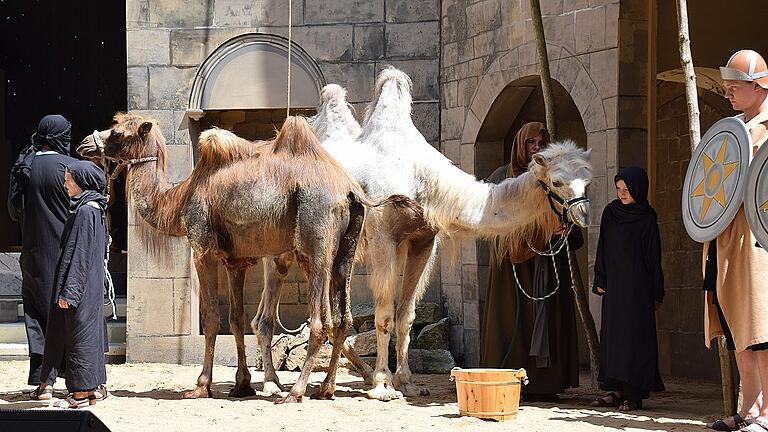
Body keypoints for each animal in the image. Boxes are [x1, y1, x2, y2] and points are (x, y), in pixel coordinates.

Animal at [78, 113, 420, 404]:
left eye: (118, 132)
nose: (84, 144)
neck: (179, 200)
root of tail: (350, 190)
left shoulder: (203, 250)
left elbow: (211, 318)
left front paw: (201, 386)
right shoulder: (236, 261)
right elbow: (236, 319)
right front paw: (242, 385)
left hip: (316, 242)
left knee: (319, 321)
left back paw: (295, 392)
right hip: (345, 251)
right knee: (343, 318)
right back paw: (325, 389)